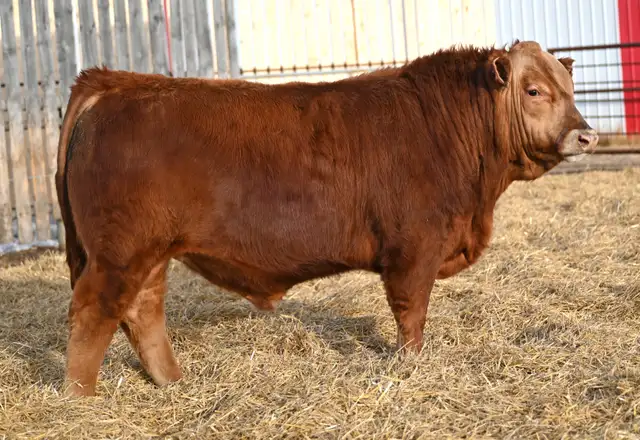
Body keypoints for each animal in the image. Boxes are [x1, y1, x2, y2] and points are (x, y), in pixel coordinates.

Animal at [55, 40, 598, 397]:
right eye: (534, 90)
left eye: (571, 88)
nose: (586, 135)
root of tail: (119, 82)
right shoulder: (414, 249)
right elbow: (411, 314)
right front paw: (409, 367)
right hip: (119, 252)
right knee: (94, 313)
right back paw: (82, 399)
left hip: (148, 252)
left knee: (142, 311)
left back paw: (173, 382)